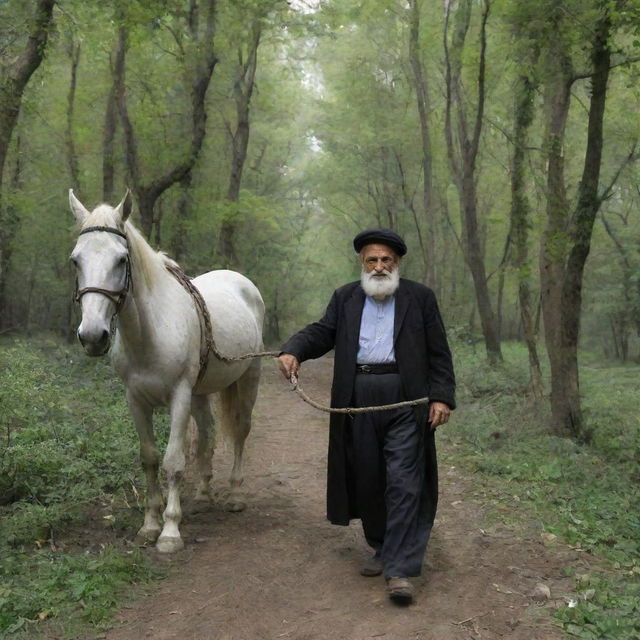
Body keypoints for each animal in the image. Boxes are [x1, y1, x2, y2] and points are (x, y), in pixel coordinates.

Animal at [72, 189, 264, 552]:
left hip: (248, 379)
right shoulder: (135, 400)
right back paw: (203, 495)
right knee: (208, 432)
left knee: (240, 430)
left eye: (121, 259)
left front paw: (170, 531)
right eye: (76, 260)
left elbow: (174, 460)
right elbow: (148, 458)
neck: (151, 331)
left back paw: (234, 494)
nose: (92, 336)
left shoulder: (179, 396)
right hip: (202, 392)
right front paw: (149, 524)